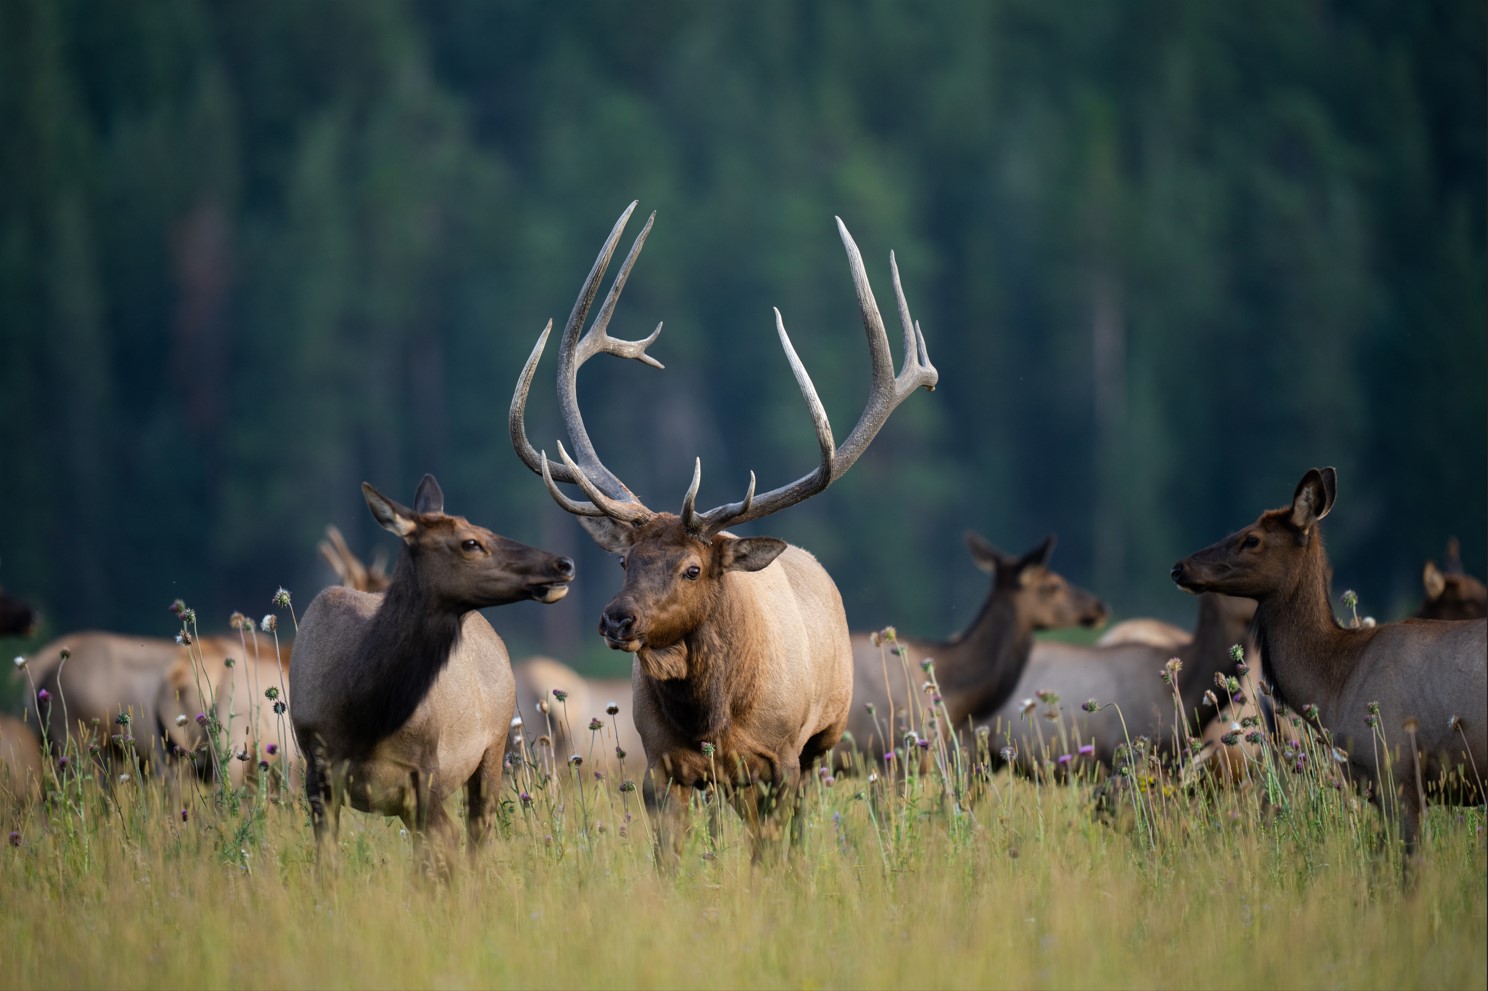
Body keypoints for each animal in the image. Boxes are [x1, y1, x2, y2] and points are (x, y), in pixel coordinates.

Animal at [288, 475, 575, 868]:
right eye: (470, 542)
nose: (563, 563)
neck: (364, 714)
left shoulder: (425, 772)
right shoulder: (318, 774)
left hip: (495, 746)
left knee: (476, 835)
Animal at [509, 201, 937, 860]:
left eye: (692, 567)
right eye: (625, 561)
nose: (616, 619)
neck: (712, 716)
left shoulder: (782, 758)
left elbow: (774, 853)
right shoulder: (662, 768)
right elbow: (672, 856)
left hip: (824, 739)